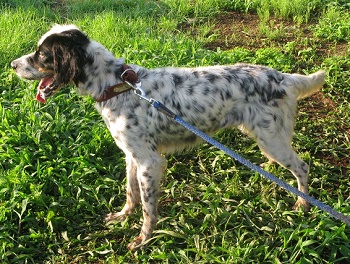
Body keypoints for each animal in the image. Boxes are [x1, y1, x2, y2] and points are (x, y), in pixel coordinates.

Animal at [10, 24, 326, 250]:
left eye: (41, 55)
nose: (12, 64)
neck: (117, 86)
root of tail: (283, 77)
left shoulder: (150, 162)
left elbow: (148, 208)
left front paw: (143, 240)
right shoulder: (132, 155)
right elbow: (131, 194)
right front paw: (122, 216)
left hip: (271, 140)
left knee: (302, 166)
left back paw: (303, 204)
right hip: (267, 137)